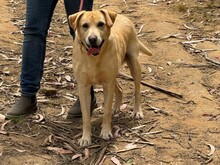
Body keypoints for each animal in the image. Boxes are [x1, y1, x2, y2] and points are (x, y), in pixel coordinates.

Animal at [69, 9, 151, 146]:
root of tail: (122, 16)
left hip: (134, 64)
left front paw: (106, 132)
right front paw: (85, 138)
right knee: (120, 88)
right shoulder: (84, 87)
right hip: (113, 75)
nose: (92, 39)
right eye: (85, 25)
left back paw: (137, 111)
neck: (94, 57)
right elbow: (86, 116)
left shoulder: (107, 85)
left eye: (101, 24)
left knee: (137, 90)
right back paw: (116, 107)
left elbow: (106, 111)